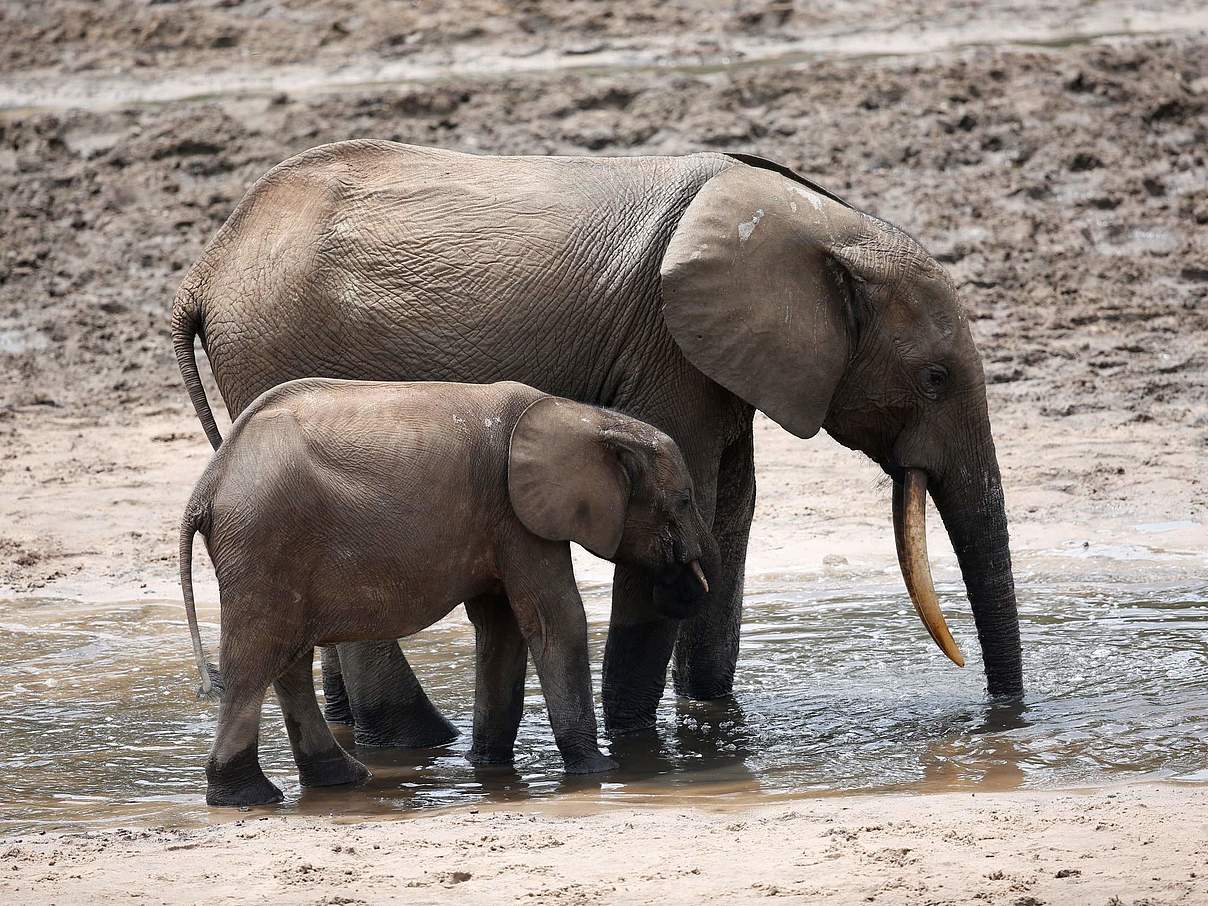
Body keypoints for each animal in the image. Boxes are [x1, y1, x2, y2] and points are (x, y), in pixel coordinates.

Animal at [170, 141, 1019, 744]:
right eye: (935, 377)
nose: (1001, 714)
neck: (821, 225)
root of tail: (205, 271)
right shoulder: (668, 351)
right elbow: (684, 513)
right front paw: (638, 743)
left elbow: (732, 513)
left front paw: (711, 727)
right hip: (276, 346)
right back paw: (416, 740)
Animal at [177, 379, 705, 806]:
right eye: (683, 501)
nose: (683, 590)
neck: (591, 419)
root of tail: (207, 485)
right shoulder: (517, 516)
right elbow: (555, 620)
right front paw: (600, 771)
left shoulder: (500, 520)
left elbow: (501, 628)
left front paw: (488, 767)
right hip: (263, 541)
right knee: (255, 660)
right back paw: (248, 798)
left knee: (289, 660)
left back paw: (340, 781)